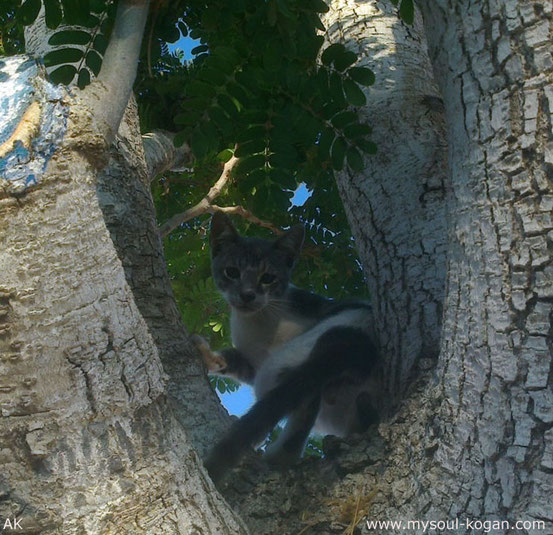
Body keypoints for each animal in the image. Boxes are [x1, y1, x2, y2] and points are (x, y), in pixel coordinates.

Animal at [194, 215, 380, 486]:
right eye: (232, 272)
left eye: (267, 278)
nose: (247, 295)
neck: (260, 323)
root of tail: (357, 343)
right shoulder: (252, 363)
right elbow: (231, 360)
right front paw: (207, 355)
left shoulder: (313, 310)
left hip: (291, 358)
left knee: (302, 397)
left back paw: (280, 456)